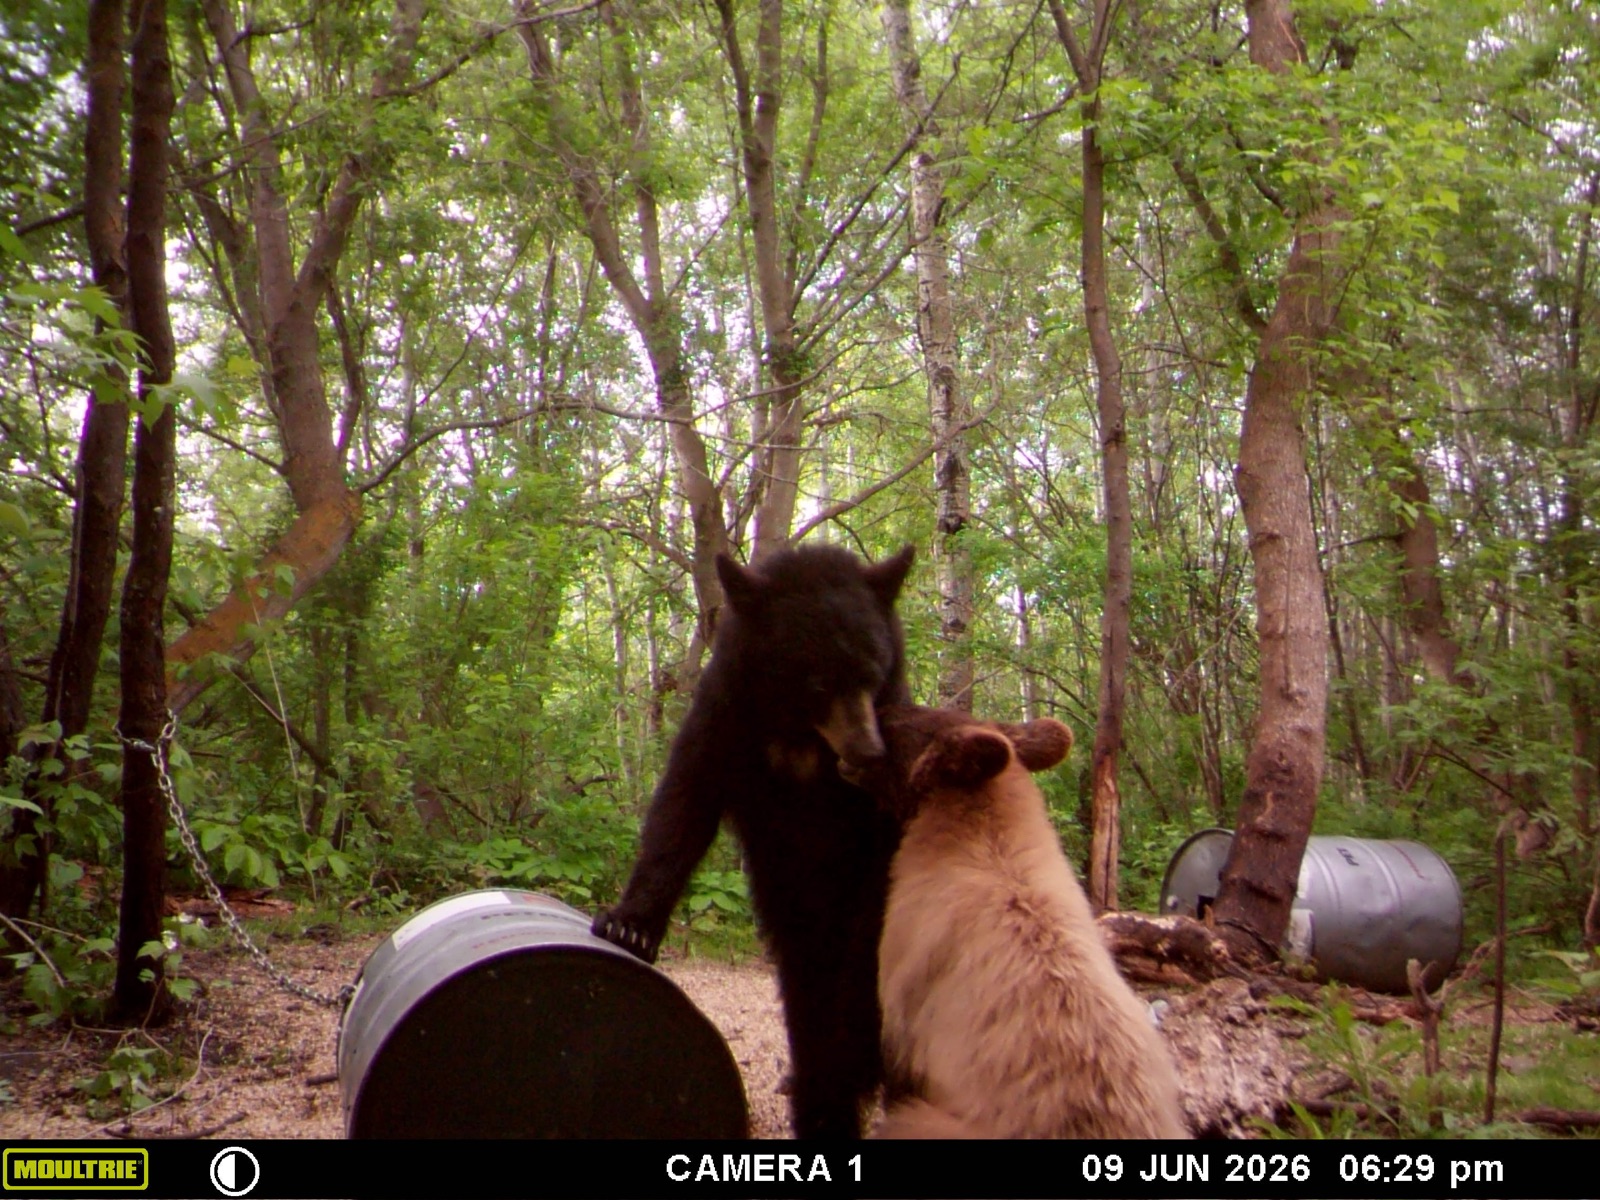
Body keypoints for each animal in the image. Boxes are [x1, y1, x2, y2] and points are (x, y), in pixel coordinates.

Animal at [592, 542, 916, 1140]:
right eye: (818, 681)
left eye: (873, 670)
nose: (868, 752)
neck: (798, 736)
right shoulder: (724, 718)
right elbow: (682, 807)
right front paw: (628, 924)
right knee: (805, 983)